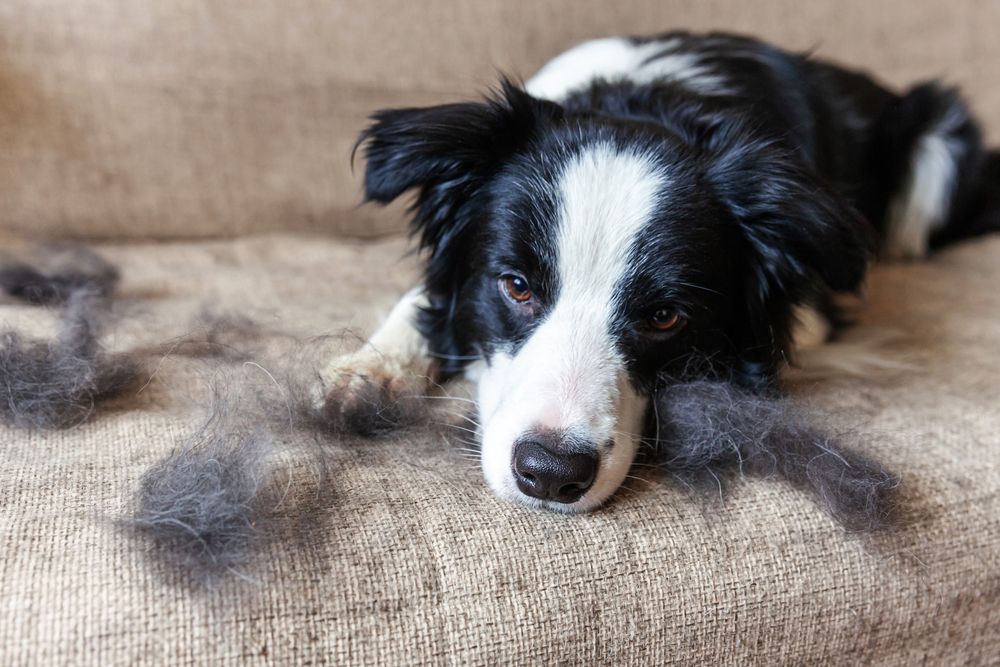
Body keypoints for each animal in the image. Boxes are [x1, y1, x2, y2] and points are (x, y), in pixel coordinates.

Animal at [314, 30, 1000, 512]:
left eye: (666, 317)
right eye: (516, 286)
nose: (550, 476)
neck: (646, 105)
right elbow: (422, 301)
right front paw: (370, 373)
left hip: (939, 143)